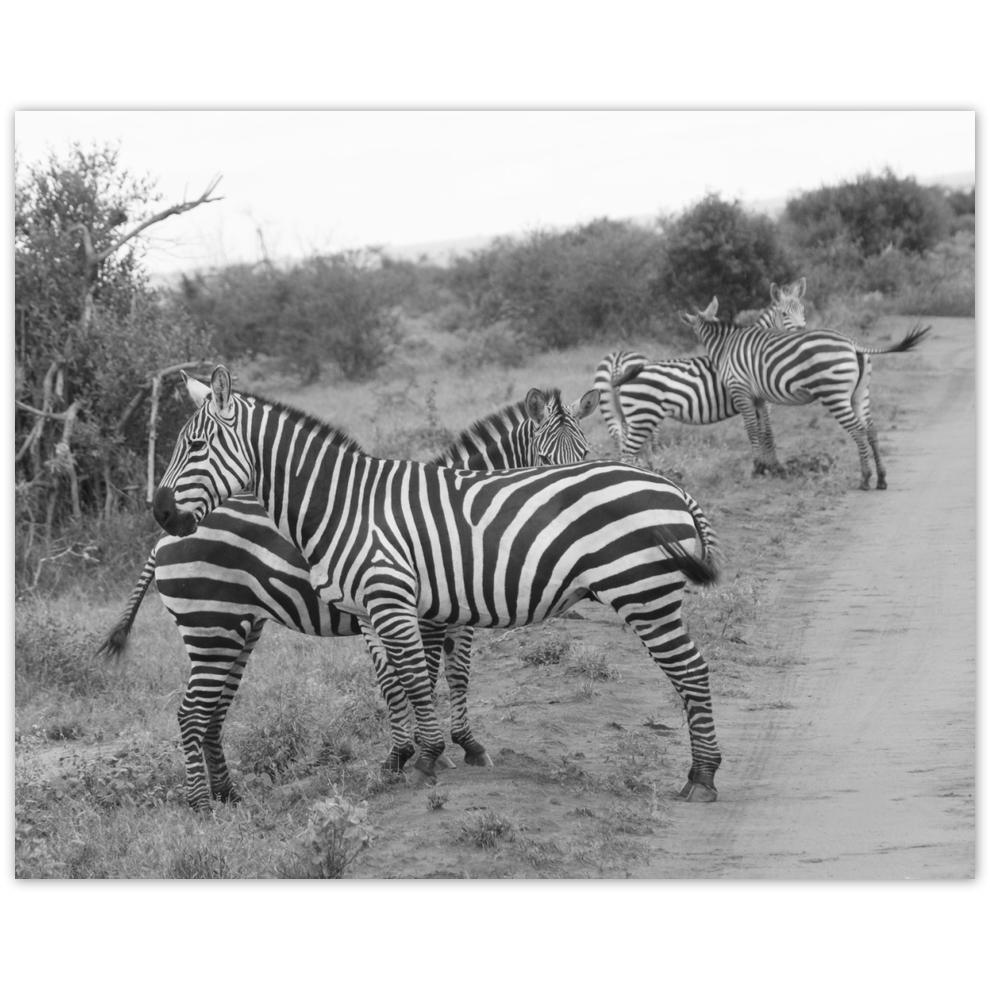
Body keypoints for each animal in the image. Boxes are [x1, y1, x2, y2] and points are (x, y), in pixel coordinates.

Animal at [100, 381, 599, 811]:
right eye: (543, 458)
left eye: (586, 455)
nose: (571, 516)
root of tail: (161, 539)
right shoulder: (424, 613)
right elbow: (419, 677)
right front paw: (428, 753)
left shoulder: (451, 612)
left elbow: (454, 677)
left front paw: (463, 746)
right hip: (210, 624)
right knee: (193, 713)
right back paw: (202, 806)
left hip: (238, 629)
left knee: (213, 713)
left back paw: (228, 795)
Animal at [596, 279, 808, 462]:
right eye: (784, 314)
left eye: (803, 310)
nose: (802, 333)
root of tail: (618, 361)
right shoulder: (759, 397)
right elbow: (765, 432)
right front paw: (768, 465)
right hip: (643, 415)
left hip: (617, 413)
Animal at [681, 295, 930, 489]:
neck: (726, 345)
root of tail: (852, 344)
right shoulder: (759, 396)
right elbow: (764, 430)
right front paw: (766, 468)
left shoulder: (740, 390)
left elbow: (752, 429)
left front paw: (756, 468)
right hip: (860, 394)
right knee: (871, 430)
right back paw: (881, 479)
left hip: (834, 395)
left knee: (858, 430)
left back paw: (865, 479)